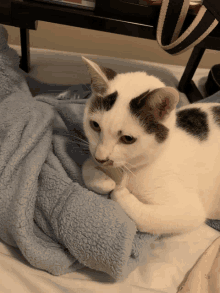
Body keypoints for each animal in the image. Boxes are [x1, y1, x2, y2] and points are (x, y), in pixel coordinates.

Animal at [81, 56, 220, 235]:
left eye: (127, 138)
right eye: (95, 125)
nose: (101, 158)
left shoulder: (188, 211)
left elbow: (145, 218)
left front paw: (120, 192)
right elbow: (86, 164)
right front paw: (102, 180)